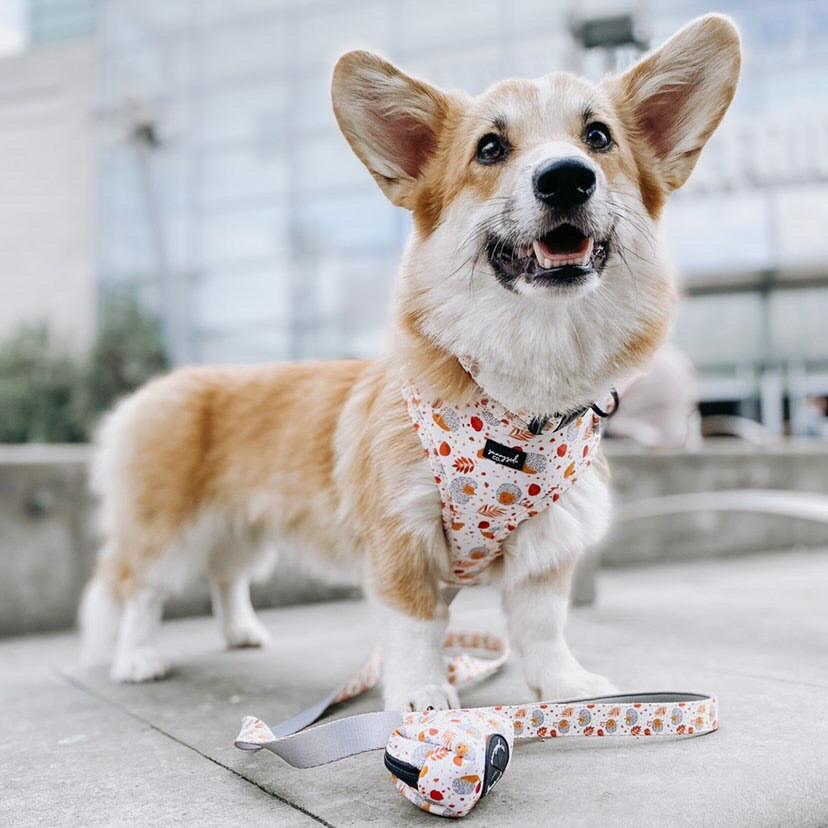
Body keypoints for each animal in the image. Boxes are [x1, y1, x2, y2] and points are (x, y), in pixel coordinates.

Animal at [81, 16, 740, 708]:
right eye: (489, 148)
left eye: (598, 137)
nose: (567, 176)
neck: (519, 393)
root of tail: (160, 386)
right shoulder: (401, 537)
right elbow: (415, 627)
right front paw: (423, 698)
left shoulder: (547, 546)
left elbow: (543, 627)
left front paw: (566, 687)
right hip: (167, 530)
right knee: (137, 589)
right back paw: (138, 657)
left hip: (244, 528)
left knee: (226, 576)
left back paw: (242, 633)